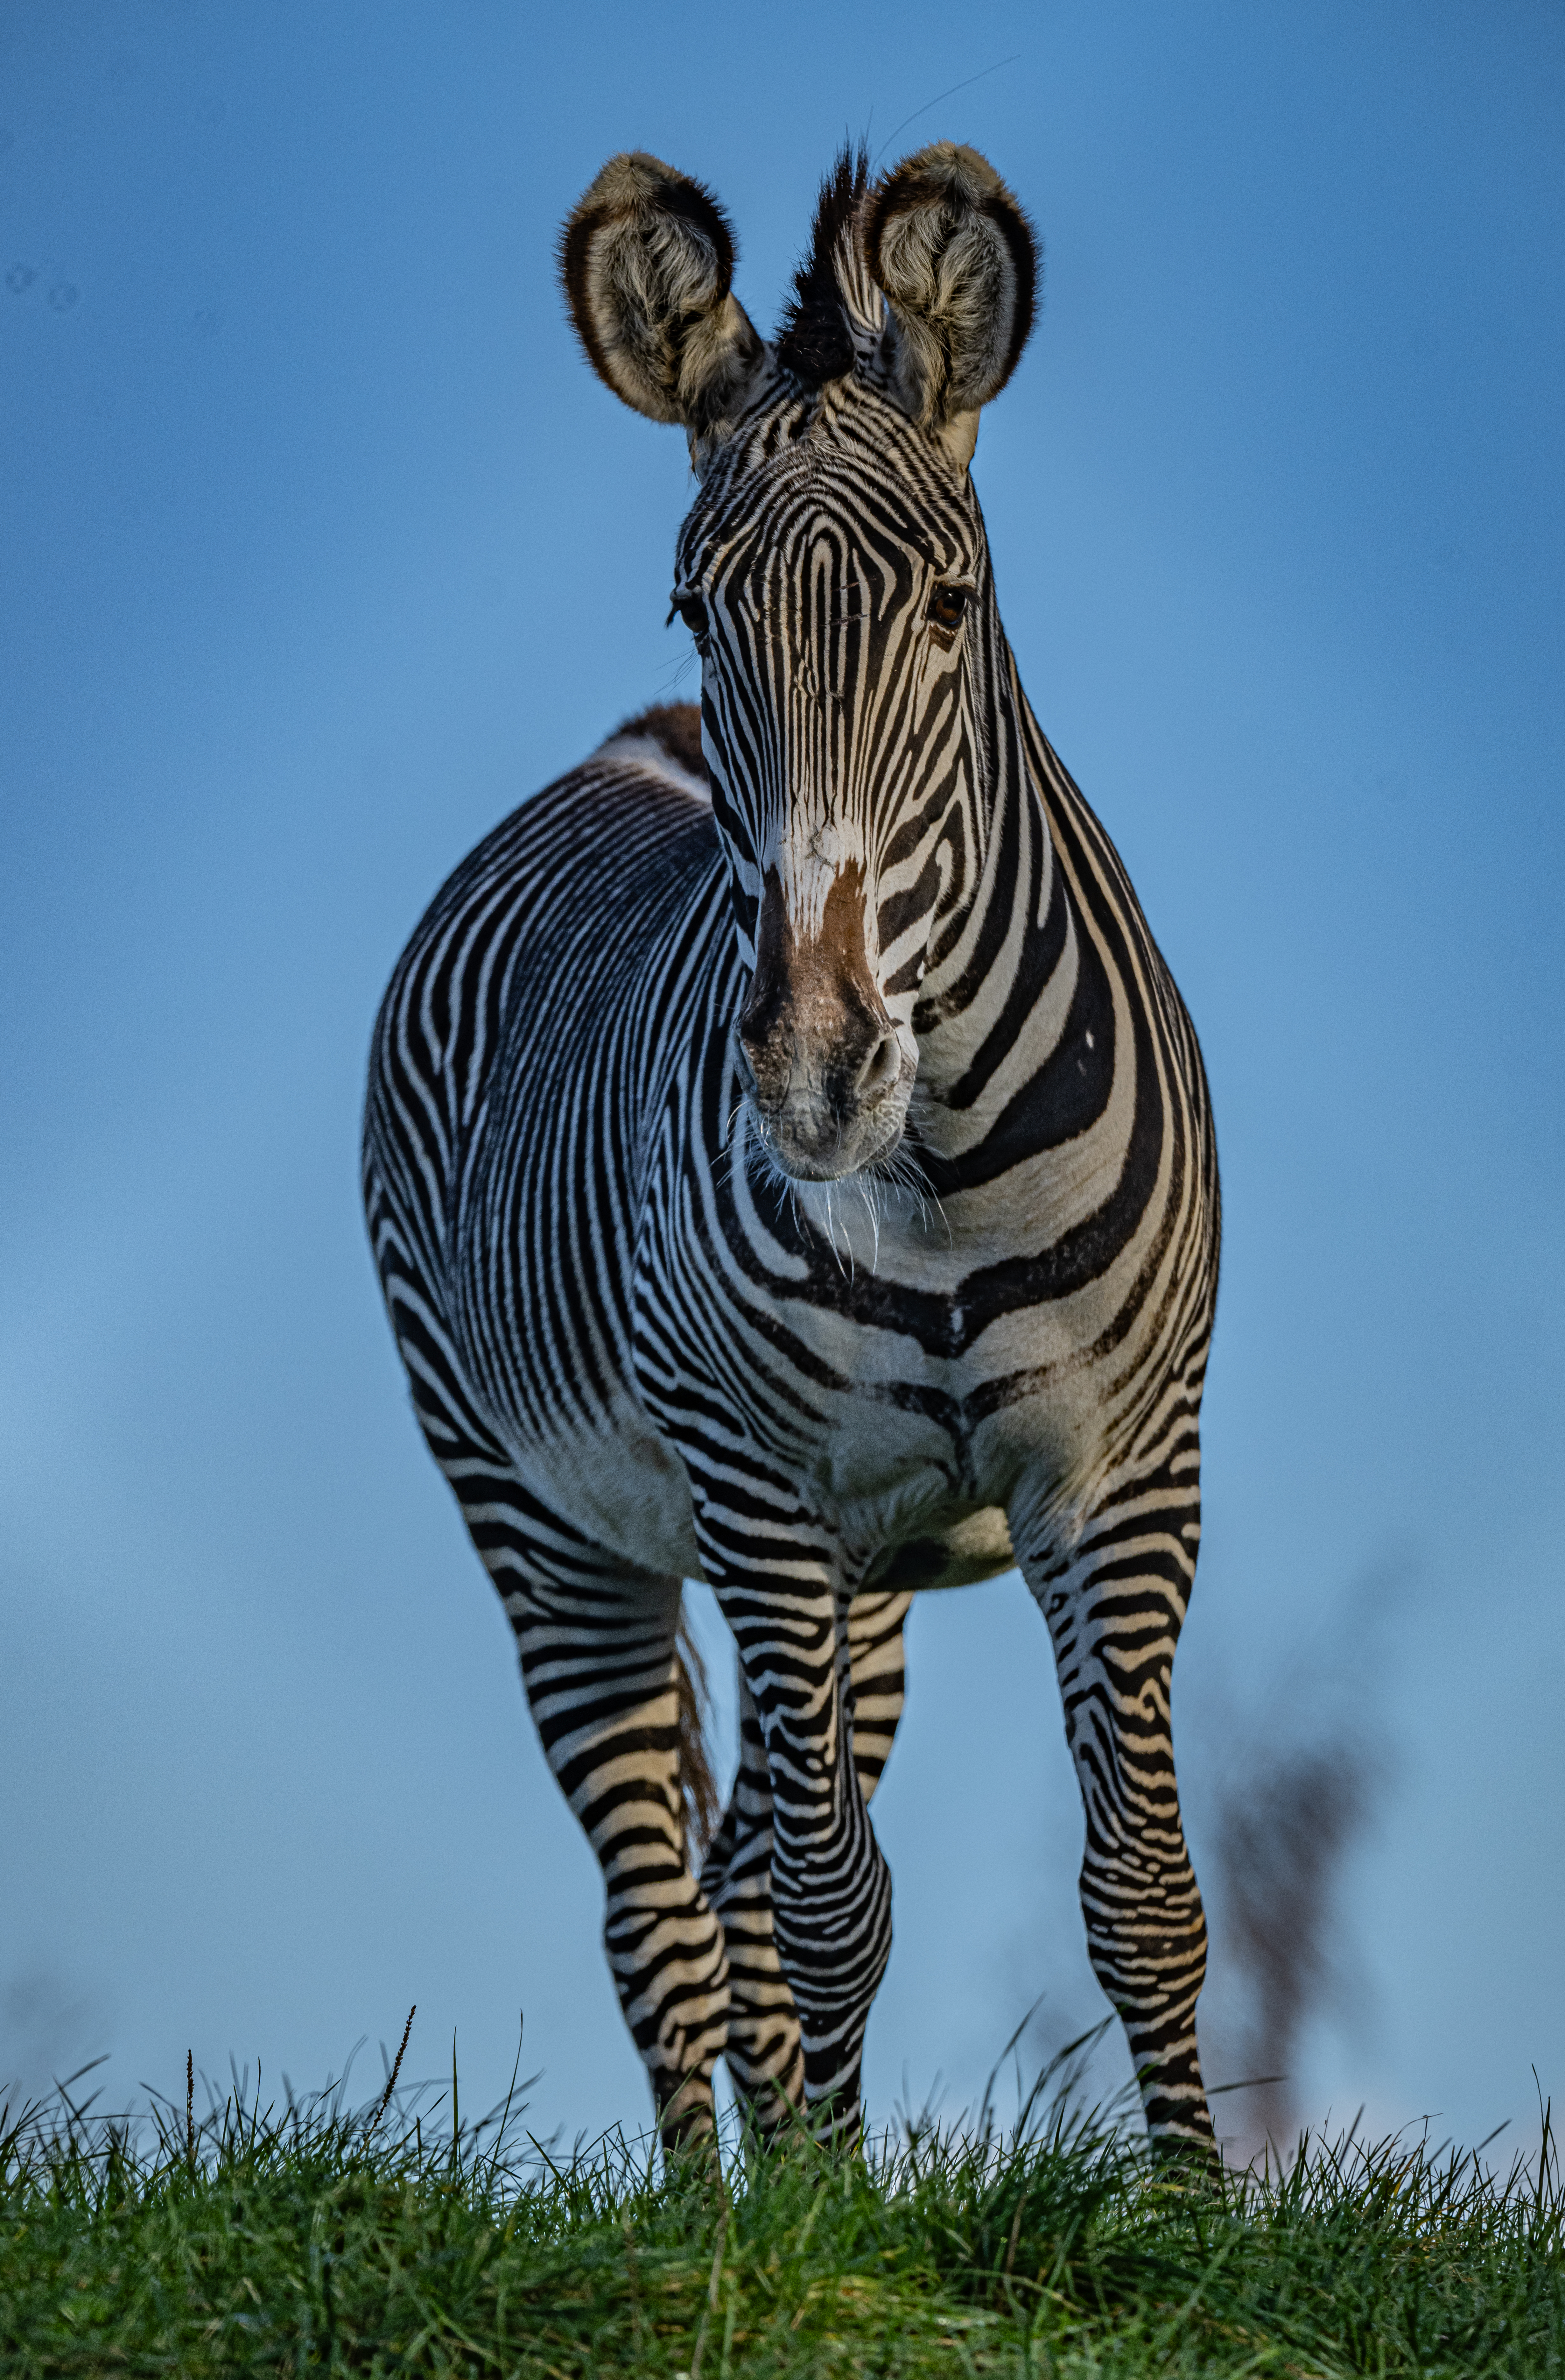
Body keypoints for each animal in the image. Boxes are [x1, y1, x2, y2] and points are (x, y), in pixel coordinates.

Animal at [363, 140, 1221, 2153]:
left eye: (952, 606)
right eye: (698, 608)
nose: (818, 1072)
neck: (949, 1165)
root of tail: (632, 743)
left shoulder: (1124, 1467)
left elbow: (1139, 1887)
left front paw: (1197, 2204)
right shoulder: (762, 1491)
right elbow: (829, 1907)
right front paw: (831, 2218)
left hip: (861, 1588)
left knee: (738, 1869)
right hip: (547, 1522)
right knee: (666, 1912)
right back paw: (717, 2198)